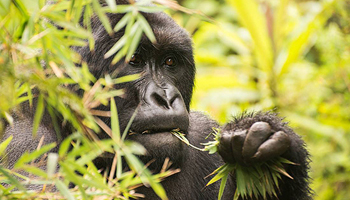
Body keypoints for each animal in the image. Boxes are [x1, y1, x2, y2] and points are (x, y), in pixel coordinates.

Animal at [1, 0, 310, 199]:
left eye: (170, 62)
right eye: (134, 61)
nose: (165, 97)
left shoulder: (201, 133)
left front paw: (266, 148)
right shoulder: (30, 145)